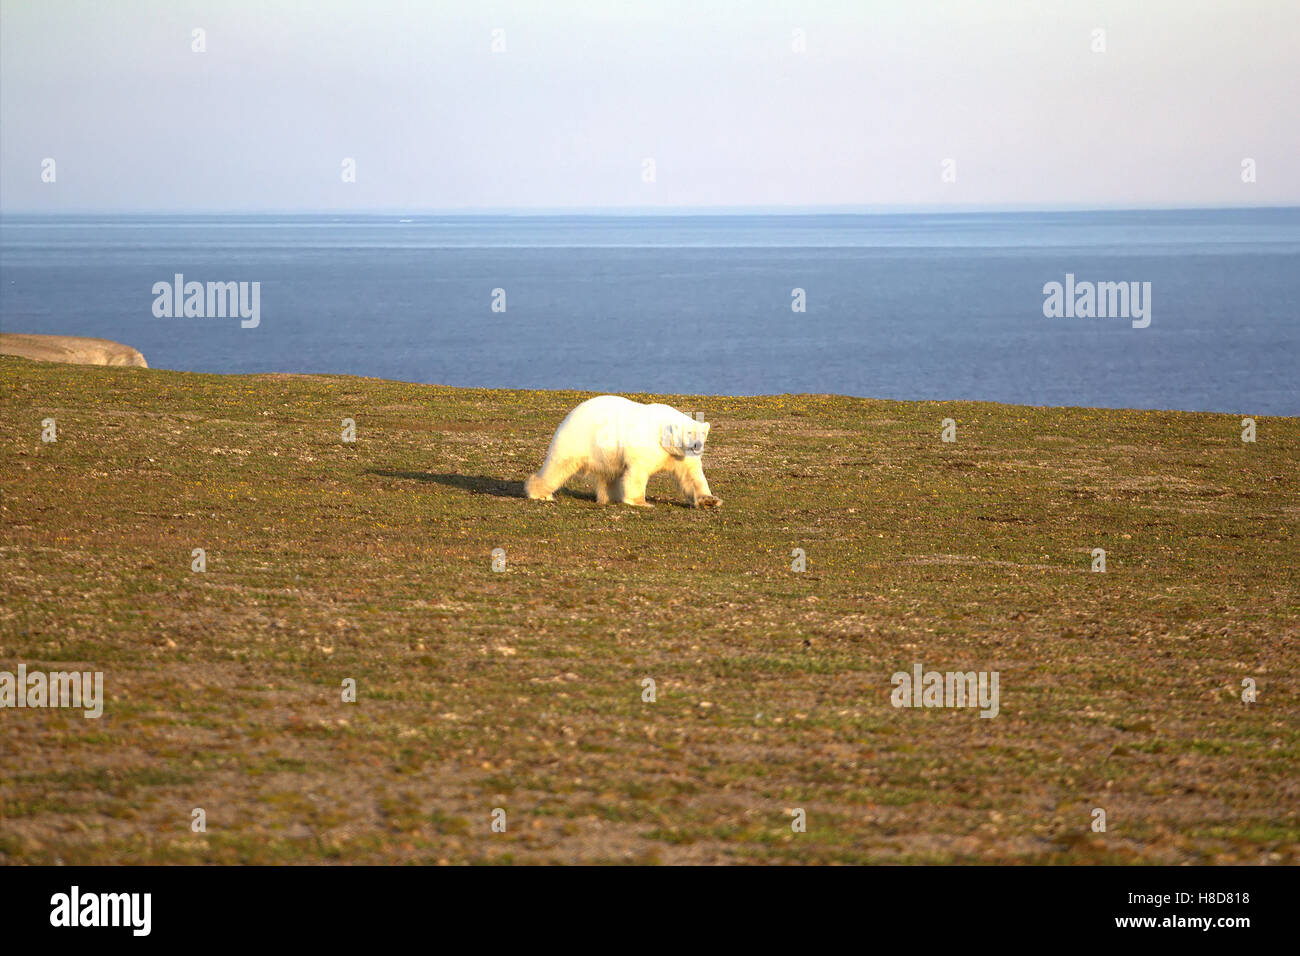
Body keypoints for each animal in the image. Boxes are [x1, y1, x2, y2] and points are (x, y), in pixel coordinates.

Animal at [524, 395, 721, 508]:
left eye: (702, 434)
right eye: (688, 433)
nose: (697, 446)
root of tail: (569, 415)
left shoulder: (681, 455)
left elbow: (692, 476)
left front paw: (709, 500)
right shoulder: (647, 444)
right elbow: (637, 472)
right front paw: (641, 502)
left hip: (605, 452)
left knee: (608, 475)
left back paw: (610, 497)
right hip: (578, 439)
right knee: (558, 466)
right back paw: (541, 494)